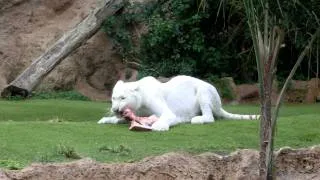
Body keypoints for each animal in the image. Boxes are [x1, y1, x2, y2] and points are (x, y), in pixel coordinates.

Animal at [97, 75, 260, 131]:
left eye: (123, 98)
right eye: (113, 98)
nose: (115, 109)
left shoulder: (163, 107)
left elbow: (167, 116)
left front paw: (158, 126)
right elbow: (121, 119)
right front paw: (105, 119)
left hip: (204, 90)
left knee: (210, 116)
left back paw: (196, 119)